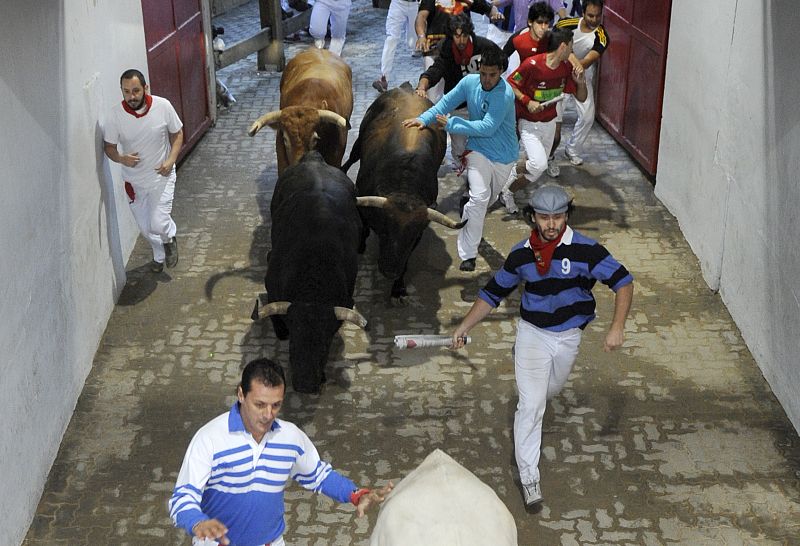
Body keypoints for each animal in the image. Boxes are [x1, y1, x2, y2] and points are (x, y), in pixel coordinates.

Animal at [342, 87, 466, 304]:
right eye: (384, 231)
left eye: (413, 237)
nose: (390, 271)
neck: (404, 184)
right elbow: (364, 224)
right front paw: (361, 243)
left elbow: (406, 260)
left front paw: (398, 288)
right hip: (358, 142)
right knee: (351, 158)